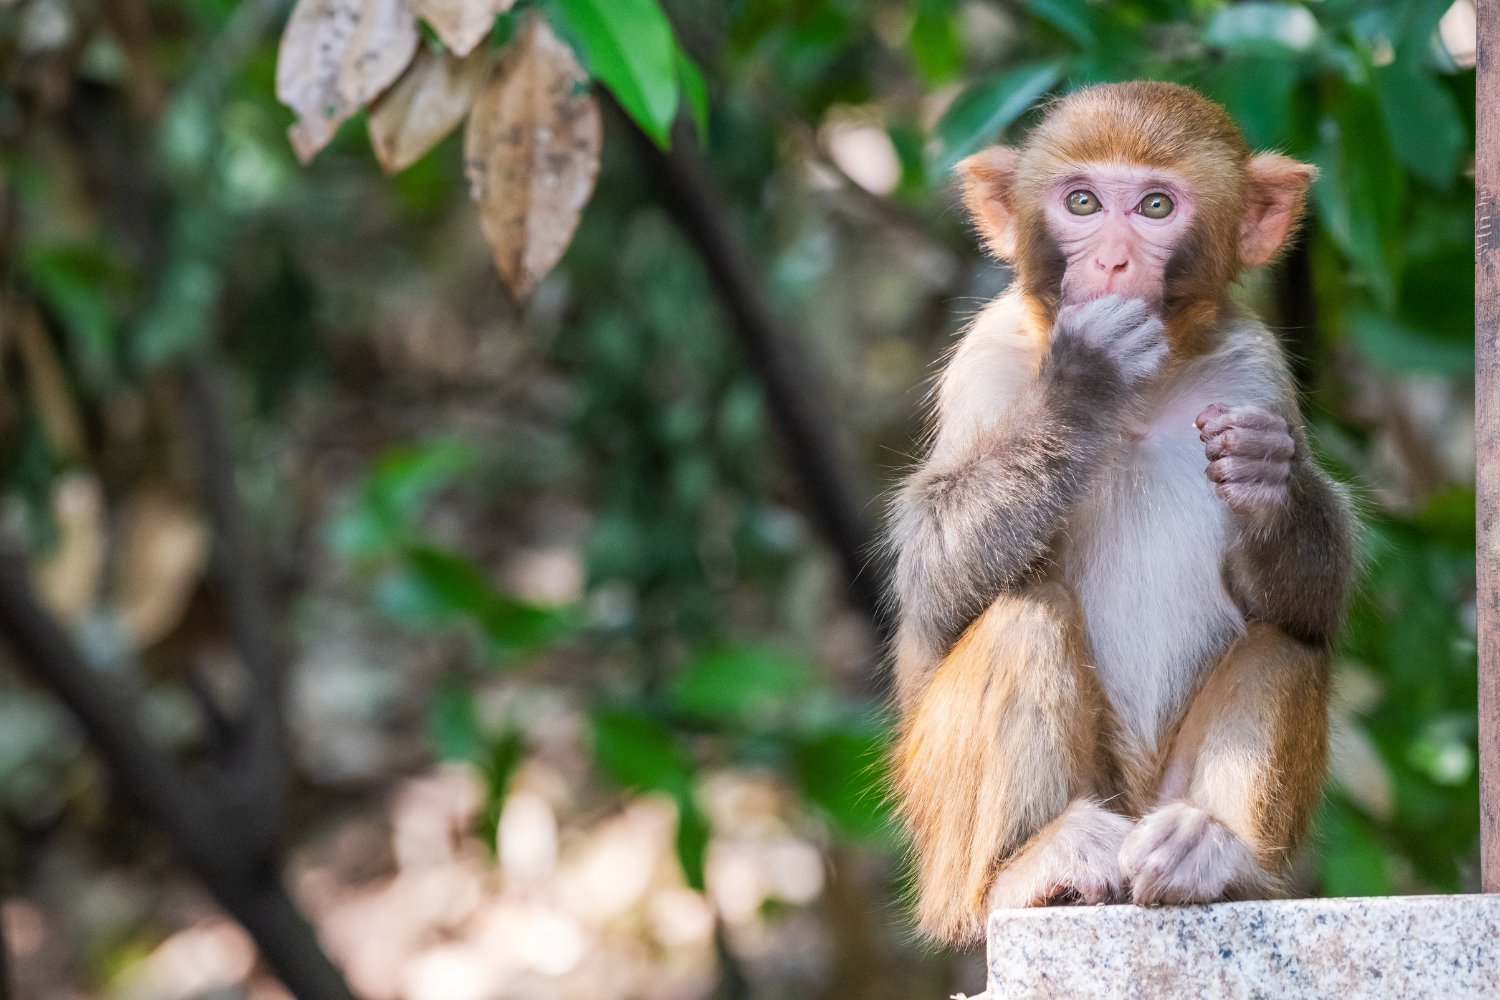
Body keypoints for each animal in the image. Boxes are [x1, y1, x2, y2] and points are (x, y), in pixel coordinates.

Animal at [882, 82, 1356, 953]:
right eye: (1082, 202)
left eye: (1156, 206)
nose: (1110, 263)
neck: (1144, 398)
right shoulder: (989, 357)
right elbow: (932, 575)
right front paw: (1083, 381)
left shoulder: (1254, 370)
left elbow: (1315, 602)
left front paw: (1271, 482)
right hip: (941, 827)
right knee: (1022, 615)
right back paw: (1028, 869)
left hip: (1157, 800)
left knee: (1286, 641)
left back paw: (1209, 855)